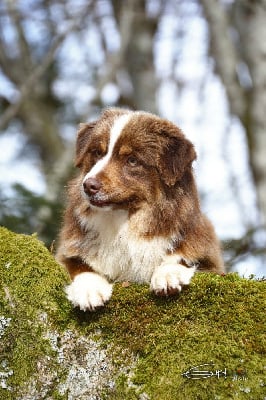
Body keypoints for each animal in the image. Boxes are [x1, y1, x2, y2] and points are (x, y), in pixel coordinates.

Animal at [56, 108, 224, 310]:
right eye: (97, 152)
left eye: (132, 160)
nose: (88, 186)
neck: (125, 222)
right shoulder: (67, 250)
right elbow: (79, 265)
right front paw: (89, 290)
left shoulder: (209, 258)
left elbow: (182, 258)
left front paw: (168, 274)